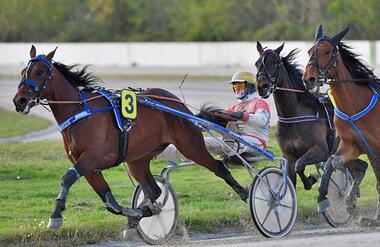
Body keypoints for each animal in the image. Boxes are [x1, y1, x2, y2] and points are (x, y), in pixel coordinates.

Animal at [11, 46, 248, 232]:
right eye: (23, 71)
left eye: (40, 72)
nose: (19, 101)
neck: (79, 112)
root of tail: (179, 105)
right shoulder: (88, 166)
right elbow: (109, 202)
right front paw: (136, 212)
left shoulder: (94, 158)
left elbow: (68, 177)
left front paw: (55, 217)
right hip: (137, 159)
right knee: (154, 190)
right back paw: (146, 209)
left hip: (190, 144)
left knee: (219, 167)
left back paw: (246, 193)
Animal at [302, 25, 378, 226]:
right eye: (310, 51)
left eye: (328, 52)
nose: (309, 79)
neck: (355, 105)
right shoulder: (353, 145)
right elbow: (332, 162)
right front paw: (326, 199)